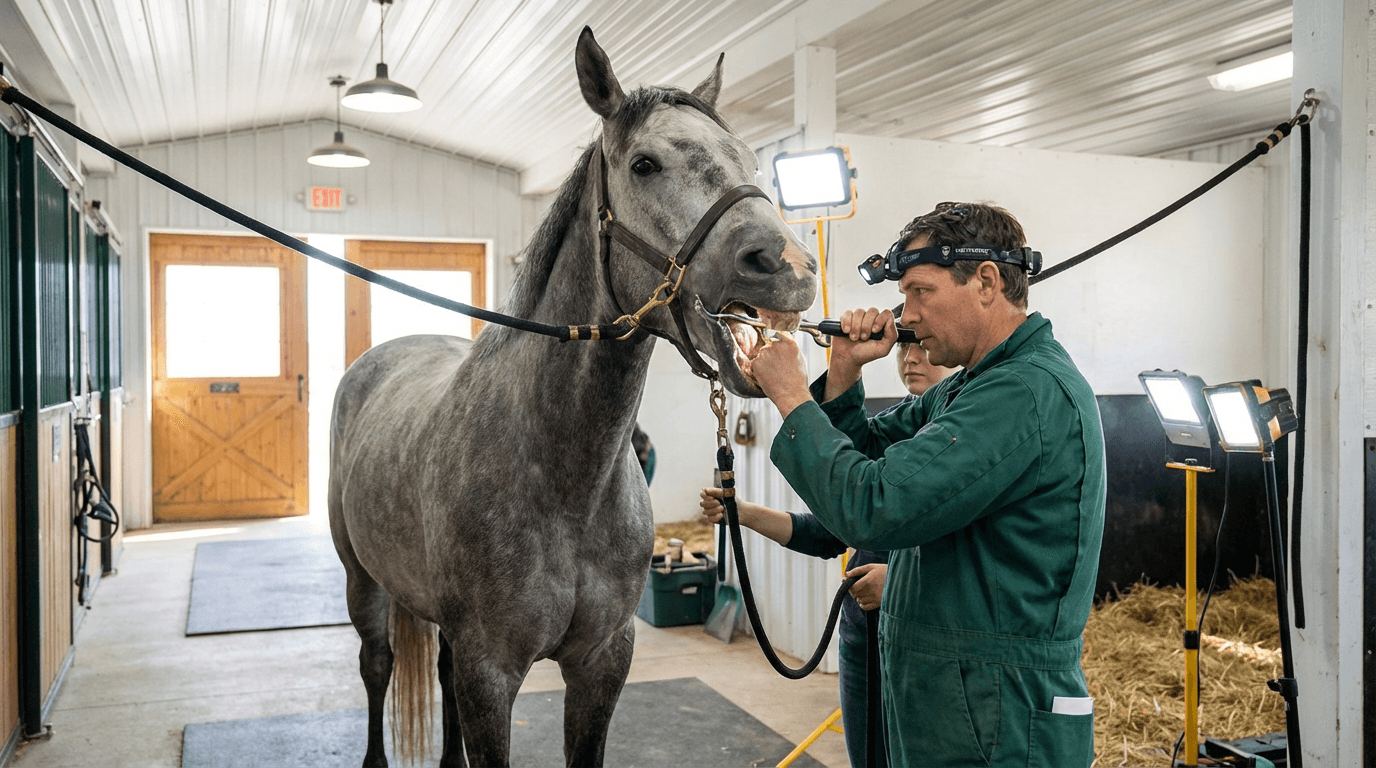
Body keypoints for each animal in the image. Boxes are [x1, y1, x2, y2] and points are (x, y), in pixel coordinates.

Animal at [328, 27, 818, 768]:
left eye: (751, 160)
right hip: (365, 583)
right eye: (644, 164)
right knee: (377, 667)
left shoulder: (602, 661)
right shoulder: (490, 671)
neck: (564, 477)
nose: (787, 264)